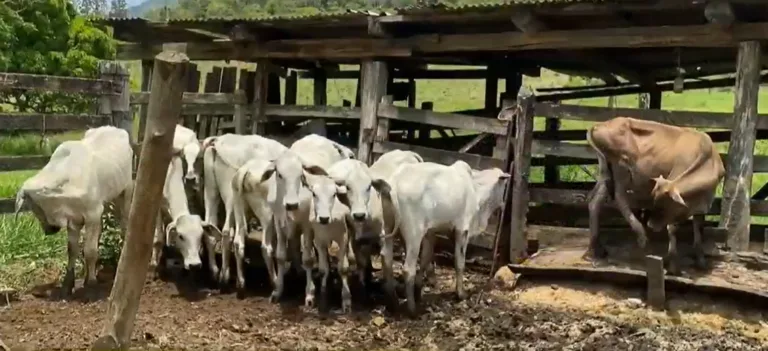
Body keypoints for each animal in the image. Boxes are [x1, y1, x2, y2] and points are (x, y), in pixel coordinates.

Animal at [13, 125, 133, 298]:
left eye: (35, 206)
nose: (50, 230)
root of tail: (115, 128)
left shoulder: (92, 214)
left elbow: (90, 251)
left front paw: (91, 283)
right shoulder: (74, 220)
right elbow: (73, 250)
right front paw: (67, 285)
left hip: (125, 192)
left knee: (124, 223)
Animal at [201, 133, 288, 288]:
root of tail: (218, 140)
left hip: (211, 191)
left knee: (210, 229)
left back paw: (216, 272)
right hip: (232, 196)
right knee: (226, 231)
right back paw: (226, 276)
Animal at [378, 162, 510, 316]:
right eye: (504, 185)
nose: (503, 204)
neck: (475, 189)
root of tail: (394, 183)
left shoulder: (431, 232)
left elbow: (426, 258)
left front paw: (418, 290)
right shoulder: (462, 230)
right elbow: (459, 262)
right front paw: (461, 293)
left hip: (388, 227)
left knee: (386, 258)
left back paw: (392, 302)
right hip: (414, 234)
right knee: (408, 269)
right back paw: (412, 309)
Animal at [588, 117, 728, 276]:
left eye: (664, 205)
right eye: (656, 201)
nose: (651, 224)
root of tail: (599, 125)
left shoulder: (703, 203)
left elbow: (698, 227)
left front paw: (701, 260)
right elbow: (672, 228)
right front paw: (673, 265)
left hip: (606, 170)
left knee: (594, 201)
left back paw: (597, 248)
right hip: (622, 166)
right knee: (619, 197)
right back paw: (641, 235)